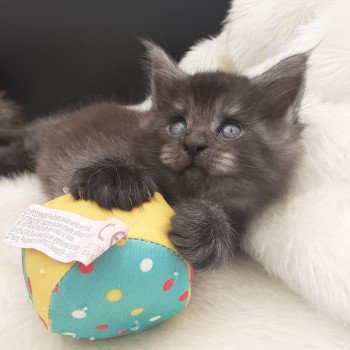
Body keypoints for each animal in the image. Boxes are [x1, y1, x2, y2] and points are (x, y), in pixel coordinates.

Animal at [0, 42, 306, 270]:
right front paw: (118, 177)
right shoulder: (93, 145)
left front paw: (205, 227)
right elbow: (85, 160)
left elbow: (226, 234)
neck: (182, 194)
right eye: (177, 125)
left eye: (231, 129)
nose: (193, 144)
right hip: (37, 137)